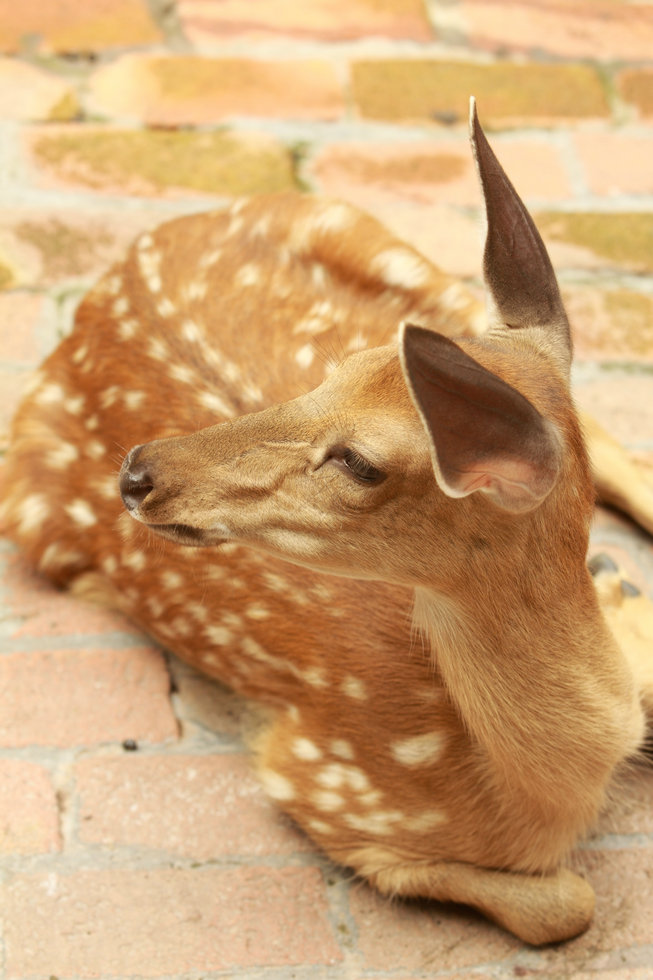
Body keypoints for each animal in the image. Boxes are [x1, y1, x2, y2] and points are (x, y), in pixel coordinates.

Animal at [1, 103, 652, 944]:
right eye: (333, 370)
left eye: (359, 462)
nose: (137, 469)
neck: (534, 793)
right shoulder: (317, 784)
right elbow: (564, 904)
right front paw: (615, 587)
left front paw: (617, 590)